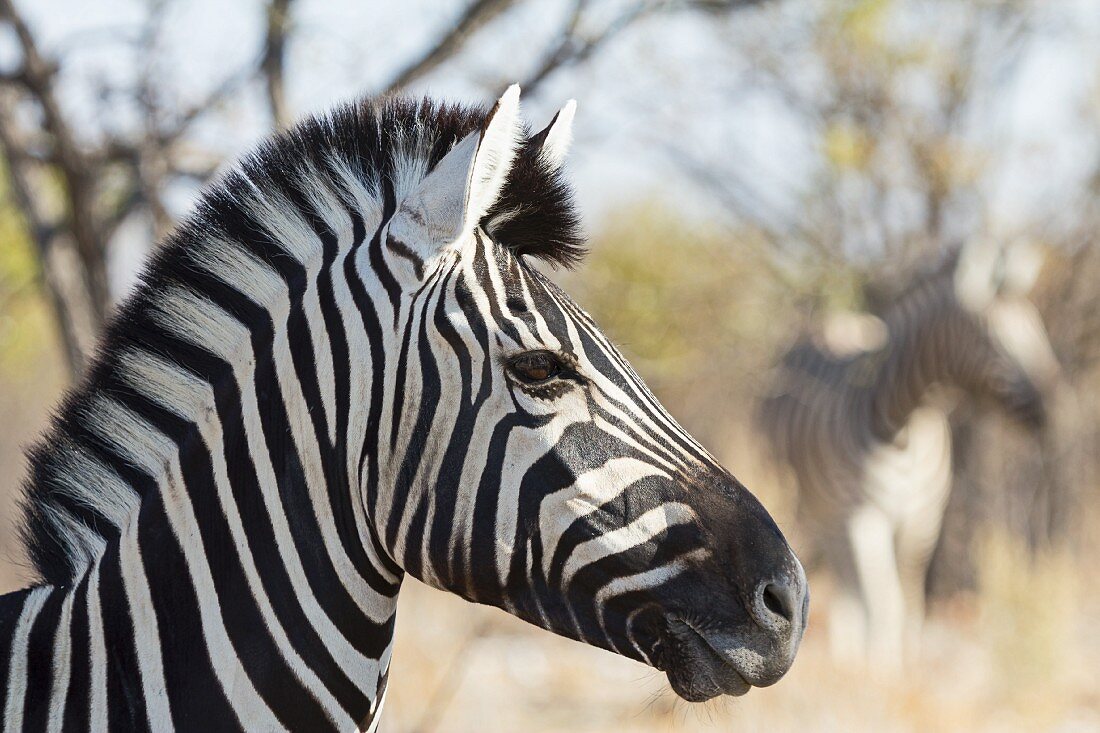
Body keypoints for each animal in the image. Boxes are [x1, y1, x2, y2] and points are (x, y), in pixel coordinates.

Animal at [756, 238, 1056, 669]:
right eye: (994, 337)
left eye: (1036, 328)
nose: (1052, 407)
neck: (906, 429)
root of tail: (835, 322)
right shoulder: (864, 515)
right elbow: (885, 602)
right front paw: (881, 671)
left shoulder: (924, 517)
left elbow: (910, 600)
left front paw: (903, 663)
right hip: (811, 501)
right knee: (841, 578)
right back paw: (848, 655)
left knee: (848, 579)